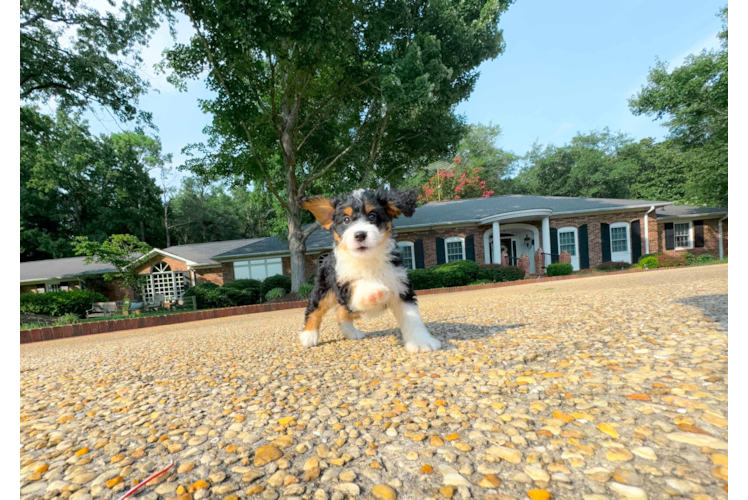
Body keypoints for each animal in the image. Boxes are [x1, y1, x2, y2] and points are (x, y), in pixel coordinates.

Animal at [296, 189, 442, 354]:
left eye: (372, 216)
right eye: (346, 220)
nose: (360, 235)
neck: (368, 259)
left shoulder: (400, 285)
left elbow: (412, 316)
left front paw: (422, 341)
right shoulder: (343, 284)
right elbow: (357, 284)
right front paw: (373, 292)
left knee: (342, 313)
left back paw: (351, 332)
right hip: (323, 289)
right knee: (314, 310)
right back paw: (309, 335)